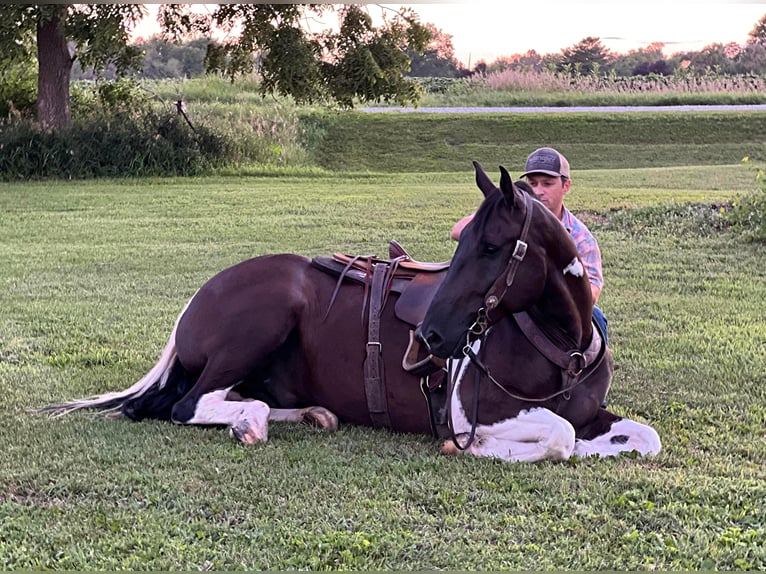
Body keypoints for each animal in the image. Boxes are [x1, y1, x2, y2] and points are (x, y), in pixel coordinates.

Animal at [43, 161, 664, 464]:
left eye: (490, 247)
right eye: (462, 241)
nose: (432, 337)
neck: (562, 346)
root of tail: (197, 299)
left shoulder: (594, 413)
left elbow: (639, 437)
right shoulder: (473, 411)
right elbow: (559, 436)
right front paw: (484, 449)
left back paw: (305, 415)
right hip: (260, 325)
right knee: (187, 406)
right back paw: (253, 425)